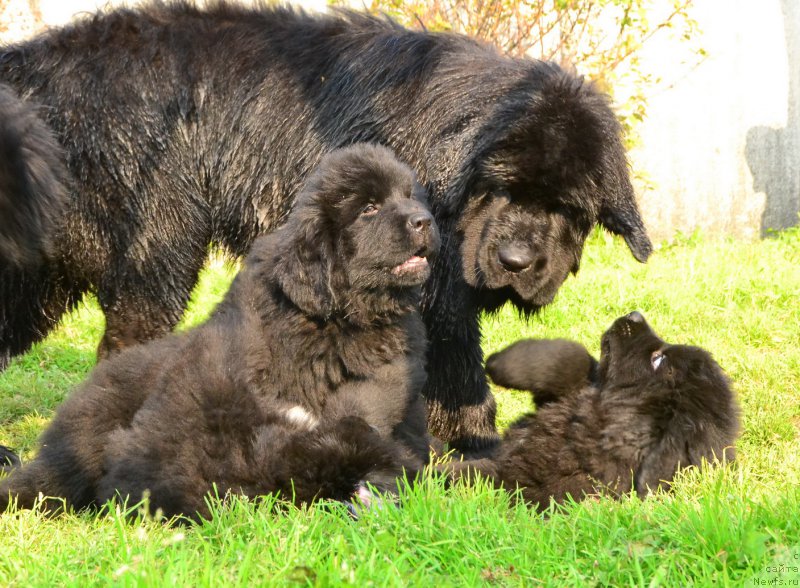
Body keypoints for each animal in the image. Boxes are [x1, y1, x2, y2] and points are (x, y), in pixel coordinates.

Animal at [0, 0, 652, 452]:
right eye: (502, 188)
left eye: (567, 208)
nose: (517, 261)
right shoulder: (434, 290)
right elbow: (461, 371)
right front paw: (475, 448)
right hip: (156, 247)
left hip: (45, 276)